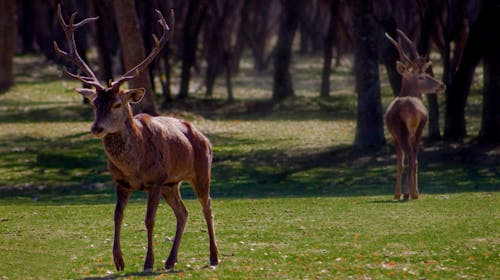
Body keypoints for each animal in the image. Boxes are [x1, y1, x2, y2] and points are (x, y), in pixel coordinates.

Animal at [54, 4, 217, 272]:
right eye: (95, 103)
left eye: (117, 104)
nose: (96, 127)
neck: (135, 167)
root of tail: (204, 137)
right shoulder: (122, 182)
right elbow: (117, 216)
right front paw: (119, 261)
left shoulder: (157, 179)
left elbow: (149, 220)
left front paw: (148, 262)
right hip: (173, 184)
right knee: (183, 212)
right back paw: (170, 260)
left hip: (201, 171)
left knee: (207, 207)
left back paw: (213, 257)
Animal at [382, 30, 446, 200]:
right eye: (421, 76)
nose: (442, 85)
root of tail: (413, 110)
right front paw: (407, 191)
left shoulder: (394, 136)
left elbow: (400, 162)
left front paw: (398, 193)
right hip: (420, 128)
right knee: (415, 157)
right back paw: (415, 193)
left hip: (401, 130)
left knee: (409, 156)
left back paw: (407, 193)